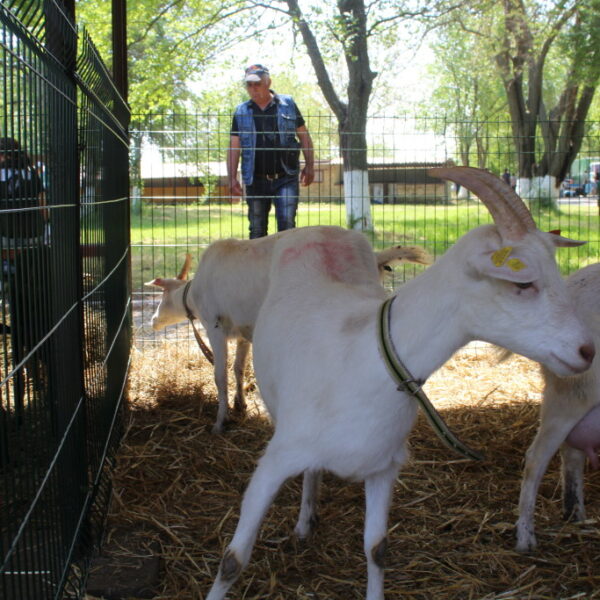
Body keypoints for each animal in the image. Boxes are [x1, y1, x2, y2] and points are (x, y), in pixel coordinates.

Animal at [145, 230, 428, 432]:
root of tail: (372, 256)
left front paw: (219, 422)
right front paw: (241, 404)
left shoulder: (215, 325)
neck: (193, 295)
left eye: (161, 295)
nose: (152, 321)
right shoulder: (244, 331)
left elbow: (220, 376)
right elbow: (238, 368)